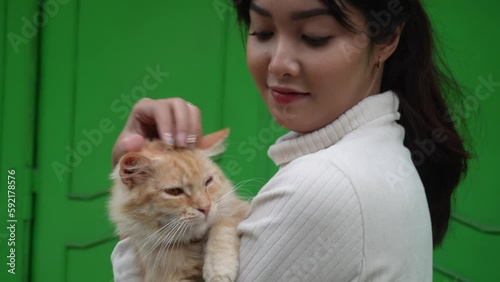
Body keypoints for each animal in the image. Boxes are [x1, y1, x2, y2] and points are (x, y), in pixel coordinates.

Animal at [109, 129, 250, 280]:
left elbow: (221, 230)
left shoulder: (235, 208)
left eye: (208, 181)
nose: (206, 208)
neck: (193, 243)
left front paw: (218, 269)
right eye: (174, 191)